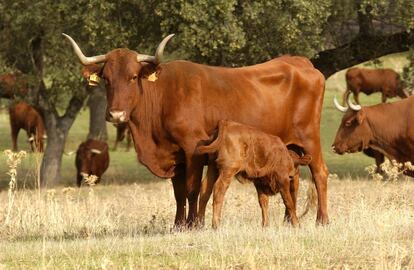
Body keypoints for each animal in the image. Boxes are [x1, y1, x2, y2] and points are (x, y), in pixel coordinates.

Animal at [63, 33, 330, 228]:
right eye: (106, 79)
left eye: (132, 76)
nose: (116, 114)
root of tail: (297, 61)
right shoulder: (175, 157)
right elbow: (179, 193)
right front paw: (178, 225)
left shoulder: (192, 150)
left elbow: (193, 190)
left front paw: (193, 224)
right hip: (290, 148)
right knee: (294, 178)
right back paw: (287, 220)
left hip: (310, 139)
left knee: (320, 174)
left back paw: (322, 220)